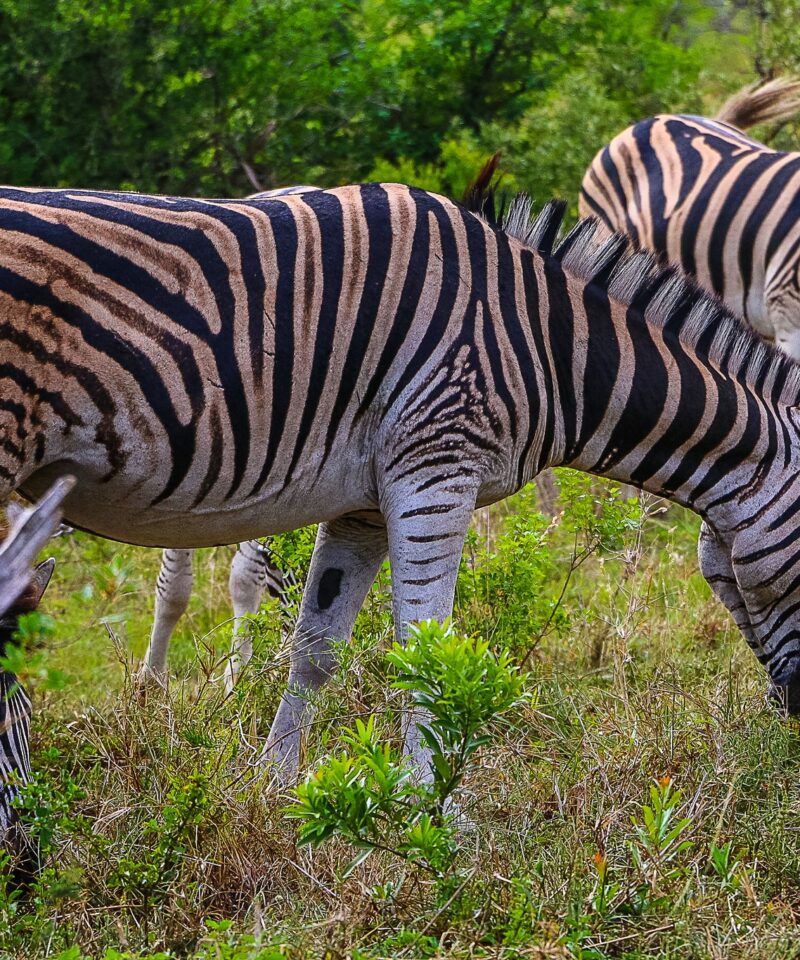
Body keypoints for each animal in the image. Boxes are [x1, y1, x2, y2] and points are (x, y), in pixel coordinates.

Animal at [3, 174, 800, 842]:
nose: (792, 718)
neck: (551, 347)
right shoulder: (436, 470)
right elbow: (426, 651)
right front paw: (436, 817)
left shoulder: (362, 503)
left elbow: (316, 646)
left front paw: (276, 787)